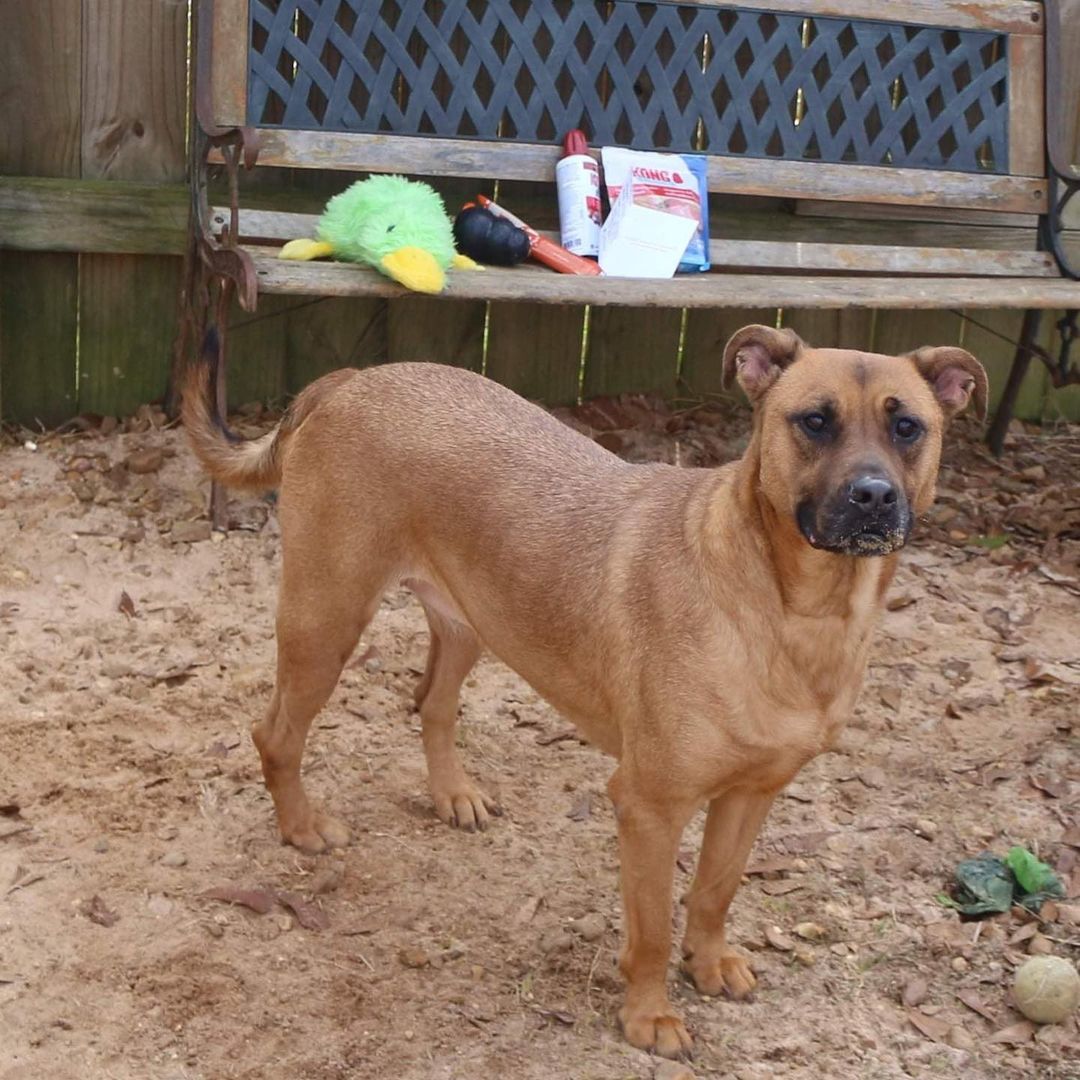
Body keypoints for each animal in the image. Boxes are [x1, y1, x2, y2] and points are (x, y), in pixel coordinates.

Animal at [183, 324, 989, 1058]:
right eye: (814, 420)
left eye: (908, 427)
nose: (873, 497)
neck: (797, 609)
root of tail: (350, 380)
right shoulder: (650, 806)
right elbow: (653, 927)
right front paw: (650, 1016)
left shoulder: (750, 794)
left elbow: (716, 890)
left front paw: (709, 962)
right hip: (326, 621)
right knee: (276, 734)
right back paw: (301, 827)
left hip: (471, 621)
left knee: (432, 704)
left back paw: (453, 795)